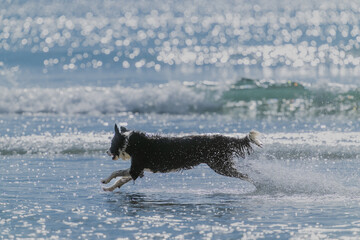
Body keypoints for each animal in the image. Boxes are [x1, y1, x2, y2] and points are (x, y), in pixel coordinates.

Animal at [101, 124, 262, 192]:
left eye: (111, 143)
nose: (107, 152)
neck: (130, 142)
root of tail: (223, 138)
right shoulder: (139, 169)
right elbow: (121, 179)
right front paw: (110, 187)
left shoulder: (136, 167)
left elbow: (116, 172)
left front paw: (105, 180)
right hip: (221, 164)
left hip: (220, 166)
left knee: (246, 175)